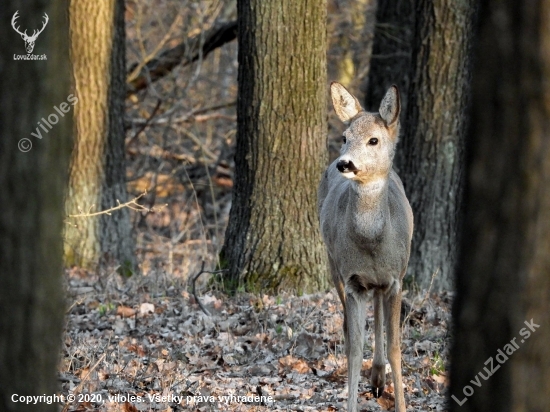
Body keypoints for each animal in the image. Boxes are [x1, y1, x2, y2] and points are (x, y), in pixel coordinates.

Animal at [320, 82, 414, 410]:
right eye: (345, 137)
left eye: (374, 139)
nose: (344, 163)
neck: (373, 243)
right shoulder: (352, 281)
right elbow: (354, 348)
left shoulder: (397, 278)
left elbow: (397, 346)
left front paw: (401, 404)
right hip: (333, 263)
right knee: (350, 327)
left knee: (379, 311)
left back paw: (378, 376)